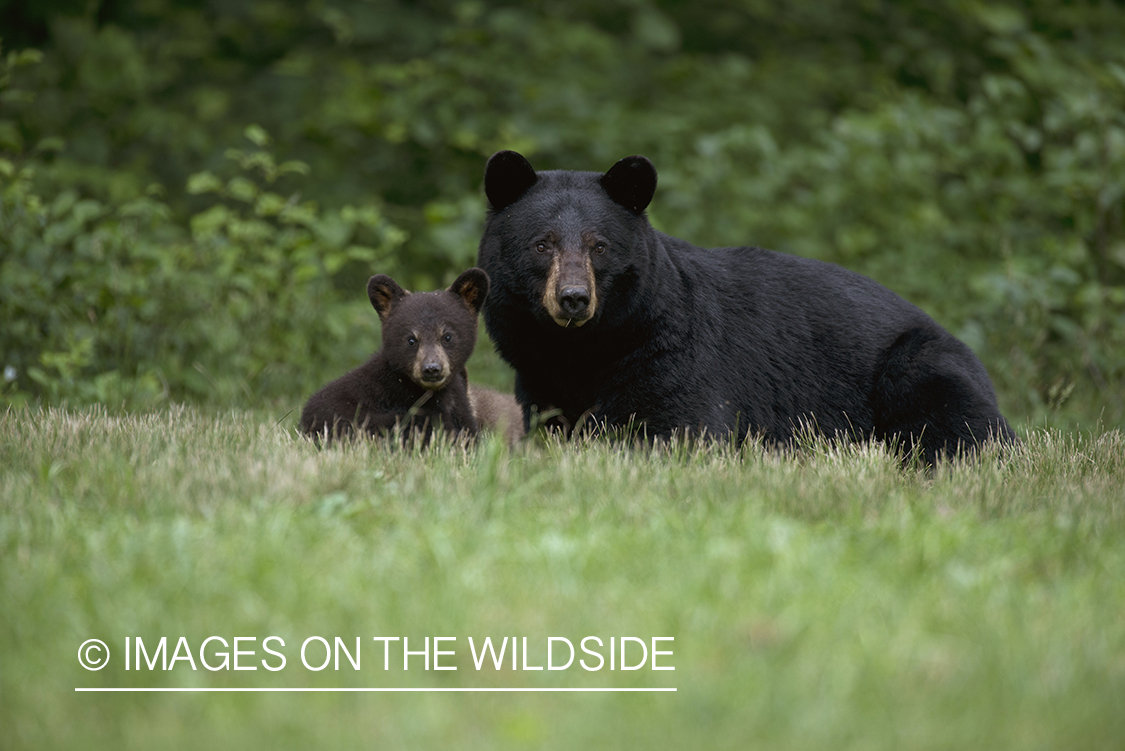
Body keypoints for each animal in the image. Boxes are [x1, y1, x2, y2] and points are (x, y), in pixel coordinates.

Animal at [477, 150, 1016, 464]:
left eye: (599, 246)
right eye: (542, 244)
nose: (573, 298)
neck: (583, 348)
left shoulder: (672, 353)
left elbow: (681, 427)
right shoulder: (538, 375)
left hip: (918, 363)